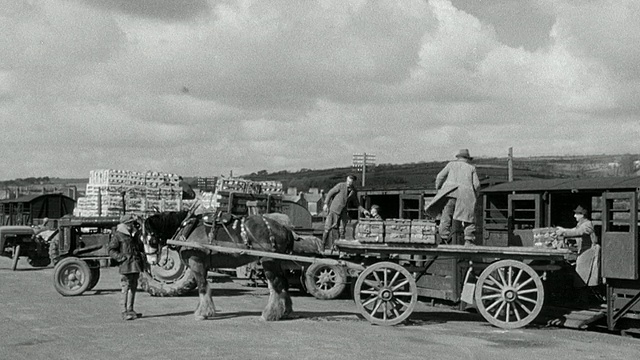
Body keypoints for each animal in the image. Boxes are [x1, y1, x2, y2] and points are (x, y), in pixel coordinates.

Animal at [141, 210, 296, 322]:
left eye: (151, 239)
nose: (151, 261)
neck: (188, 228)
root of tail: (284, 228)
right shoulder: (202, 266)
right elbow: (205, 287)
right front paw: (202, 310)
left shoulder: (196, 263)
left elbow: (202, 287)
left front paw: (203, 313)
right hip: (276, 262)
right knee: (283, 284)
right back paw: (286, 311)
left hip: (269, 261)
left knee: (276, 286)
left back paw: (269, 314)